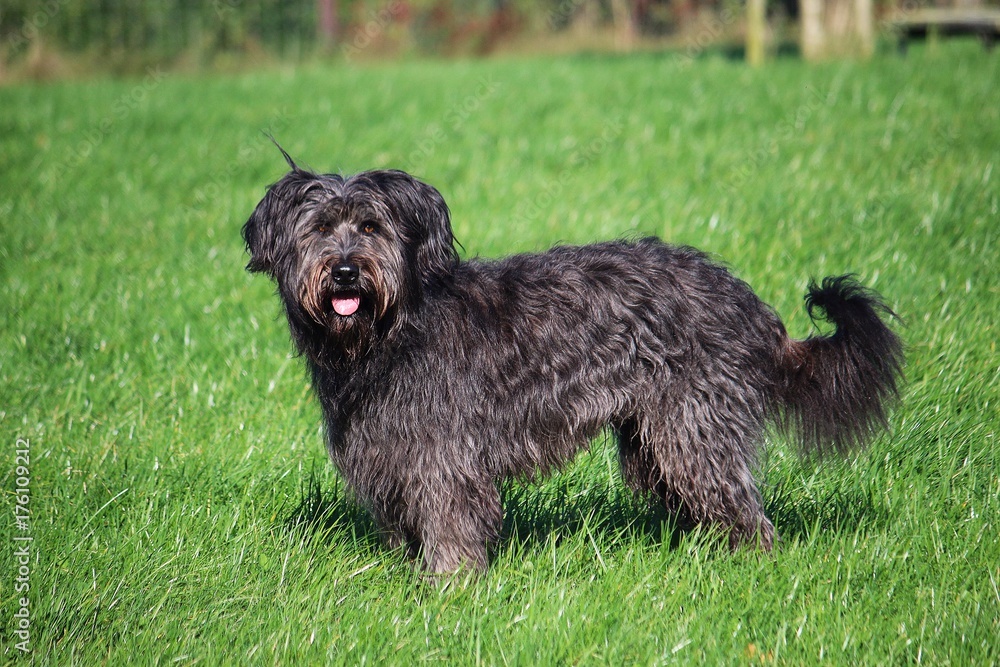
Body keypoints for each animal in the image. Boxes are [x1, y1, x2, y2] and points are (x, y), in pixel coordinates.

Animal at [244, 157, 908, 576]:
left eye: (371, 226)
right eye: (319, 228)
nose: (346, 272)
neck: (387, 333)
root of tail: (749, 304)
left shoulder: (444, 458)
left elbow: (451, 523)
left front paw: (449, 590)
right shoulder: (387, 454)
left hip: (694, 428)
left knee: (743, 508)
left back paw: (752, 568)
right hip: (652, 440)